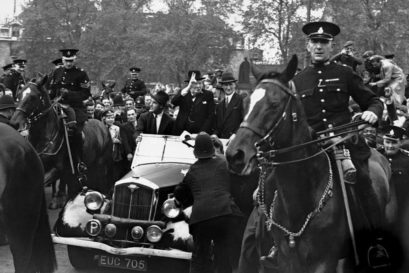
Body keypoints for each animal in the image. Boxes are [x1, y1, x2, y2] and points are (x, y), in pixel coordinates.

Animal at [225, 54, 396, 270]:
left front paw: (369, 114)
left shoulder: (324, 260)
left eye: (274, 104)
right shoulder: (286, 259)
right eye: (246, 104)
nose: (235, 154)